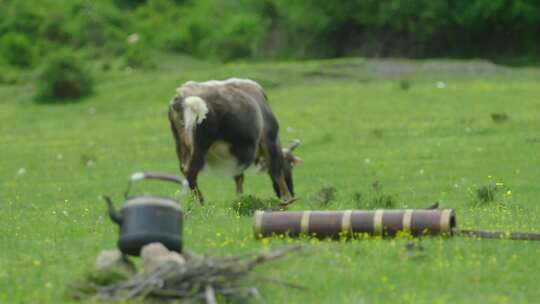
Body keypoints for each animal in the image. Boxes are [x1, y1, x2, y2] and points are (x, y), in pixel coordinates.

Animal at [168, 77, 300, 203]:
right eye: (290, 166)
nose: (293, 192)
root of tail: (182, 95)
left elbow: (238, 177)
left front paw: (239, 198)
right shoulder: (270, 140)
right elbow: (276, 171)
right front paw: (287, 198)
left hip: (180, 145)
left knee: (184, 170)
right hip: (200, 146)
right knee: (191, 172)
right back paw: (200, 201)